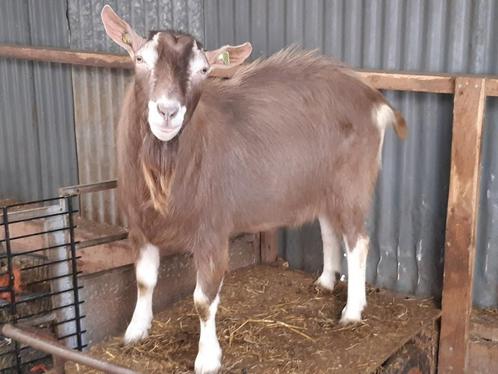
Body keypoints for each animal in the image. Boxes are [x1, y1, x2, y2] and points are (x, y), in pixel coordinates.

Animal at [100, 4, 404, 372]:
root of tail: (374, 99)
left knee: (358, 240)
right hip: (322, 183)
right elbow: (144, 281)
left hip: (352, 183)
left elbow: (203, 300)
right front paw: (135, 331)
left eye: (204, 70)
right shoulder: (139, 226)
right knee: (329, 229)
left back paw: (352, 312)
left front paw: (207, 358)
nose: (167, 111)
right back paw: (325, 282)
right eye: (140, 58)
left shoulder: (212, 230)